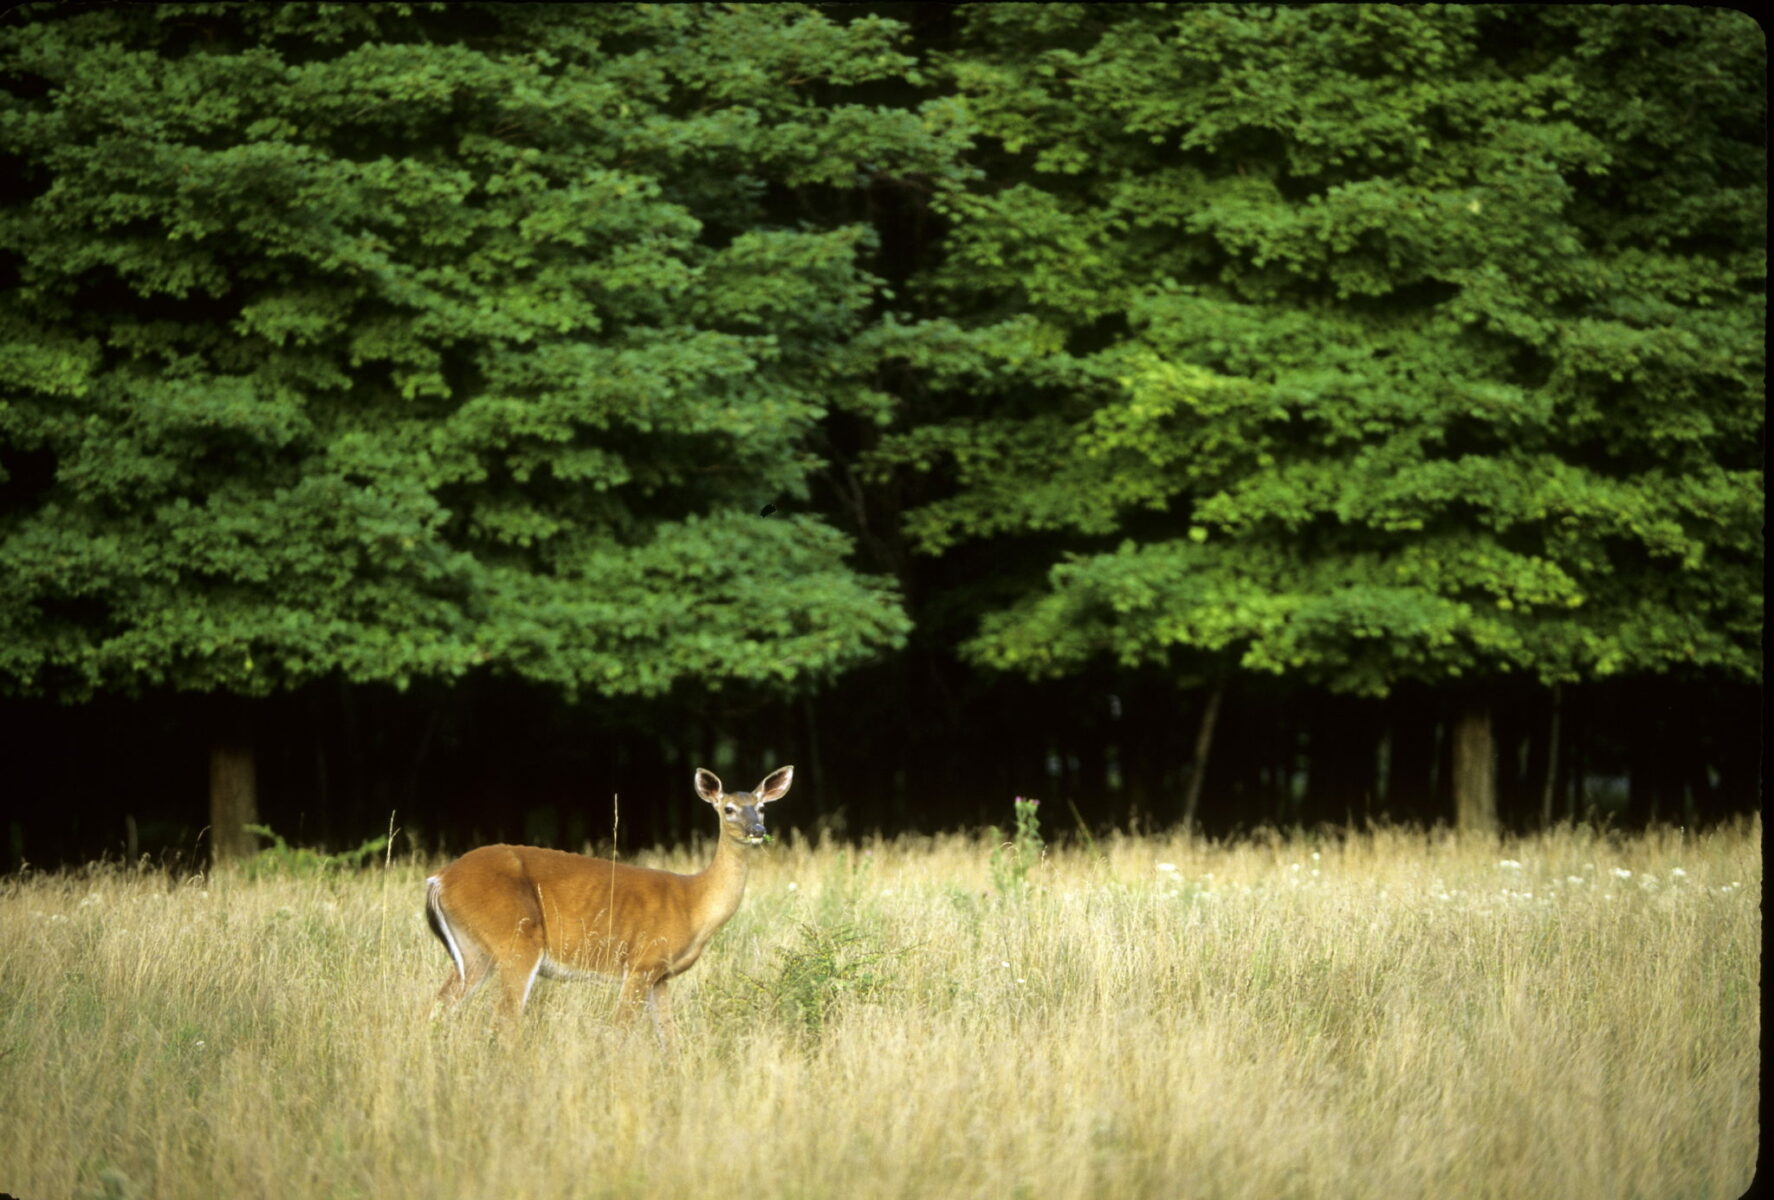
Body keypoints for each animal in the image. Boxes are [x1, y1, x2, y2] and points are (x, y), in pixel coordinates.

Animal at [422, 770, 791, 1050]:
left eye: (761, 807)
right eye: (728, 808)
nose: (757, 831)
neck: (693, 903)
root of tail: (439, 879)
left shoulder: (660, 974)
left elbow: (669, 1040)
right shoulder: (642, 961)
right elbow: (620, 1032)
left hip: (474, 951)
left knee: (438, 1006)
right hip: (516, 939)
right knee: (504, 1021)